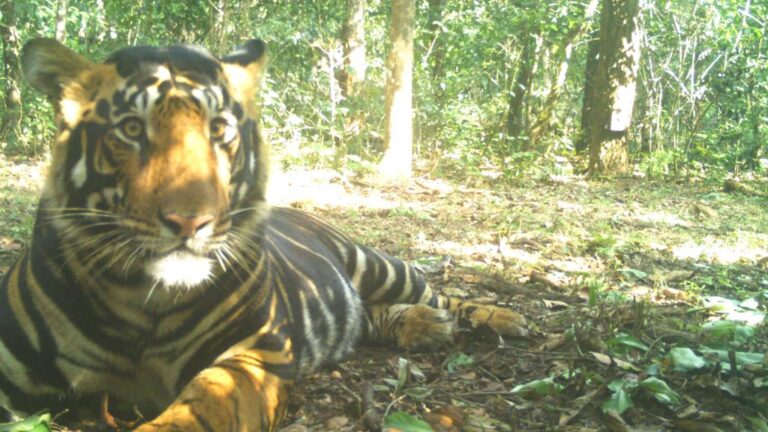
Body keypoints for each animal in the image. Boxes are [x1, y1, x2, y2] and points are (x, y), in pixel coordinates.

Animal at [0, 38, 528, 431]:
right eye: (131, 129)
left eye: (220, 129)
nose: (190, 221)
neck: (140, 301)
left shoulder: (253, 353)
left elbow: (200, 411)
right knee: (375, 315)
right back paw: (425, 326)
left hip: (376, 264)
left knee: (439, 292)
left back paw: (501, 318)